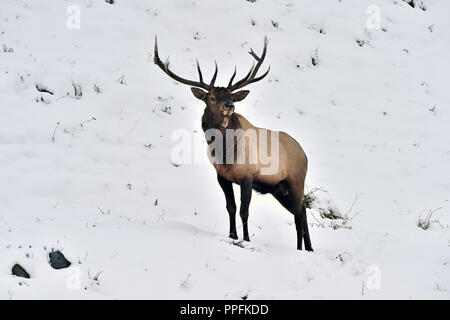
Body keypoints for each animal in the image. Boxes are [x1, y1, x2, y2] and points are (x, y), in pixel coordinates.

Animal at [153, 35, 312, 250]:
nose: (230, 105)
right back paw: (309, 249)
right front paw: (232, 235)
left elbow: (244, 211)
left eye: (231, 96)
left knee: (298, 215)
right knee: (302, 210)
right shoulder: (222, 176)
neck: (225, 153)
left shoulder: (248, 176)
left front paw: (246, 239)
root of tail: (305, 154)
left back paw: (300, 249)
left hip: (296, 180)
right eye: (212, 97)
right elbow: (231, 207)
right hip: (278, 188)